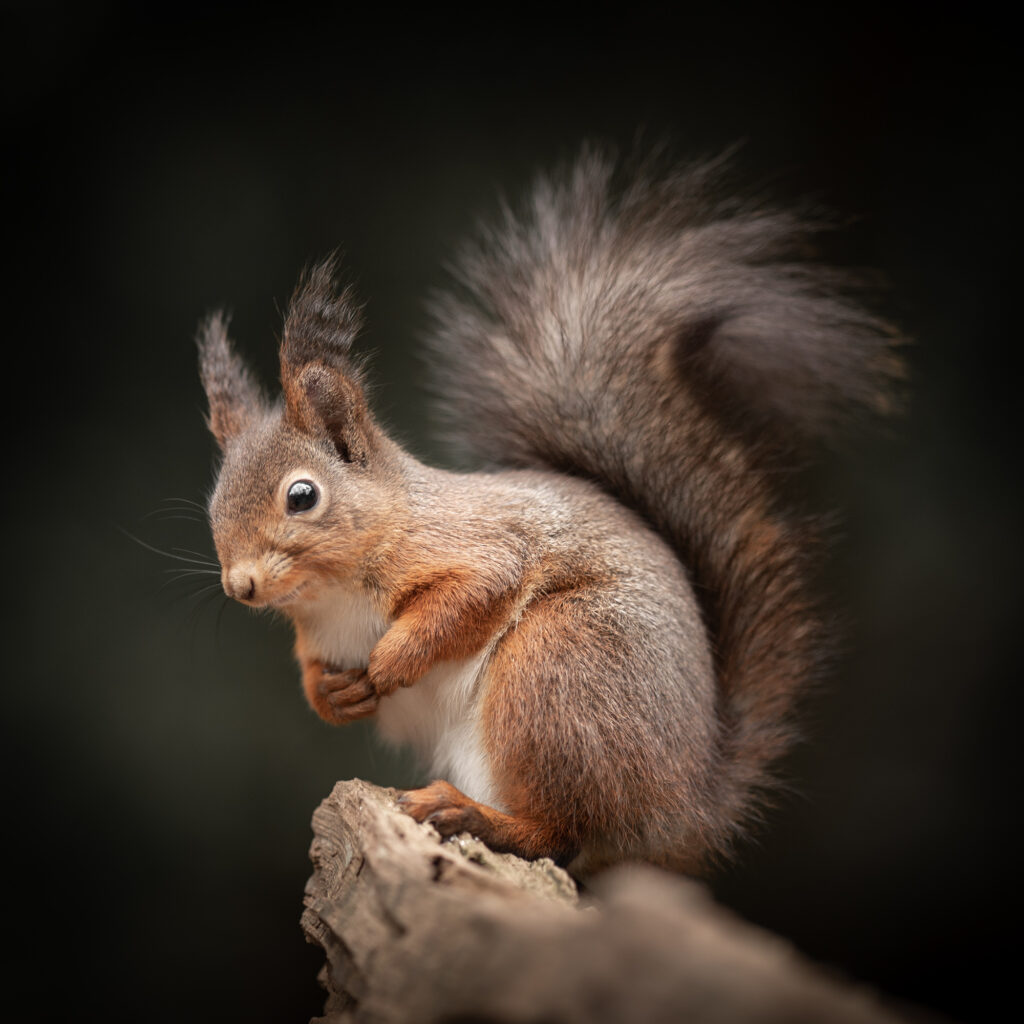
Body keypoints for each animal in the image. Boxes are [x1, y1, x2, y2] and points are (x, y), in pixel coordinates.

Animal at [197, 150, 902, 876]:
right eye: (213, 502)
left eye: (302, 496)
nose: (240, 585)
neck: (334, 592)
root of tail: (687, 807)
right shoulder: (318, 636)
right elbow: (315, 676)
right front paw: (336, 695)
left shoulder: (479, 545)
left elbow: (471, 593)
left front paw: (392, 661)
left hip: (558, 668)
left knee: (560, 832)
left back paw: (470, 814)